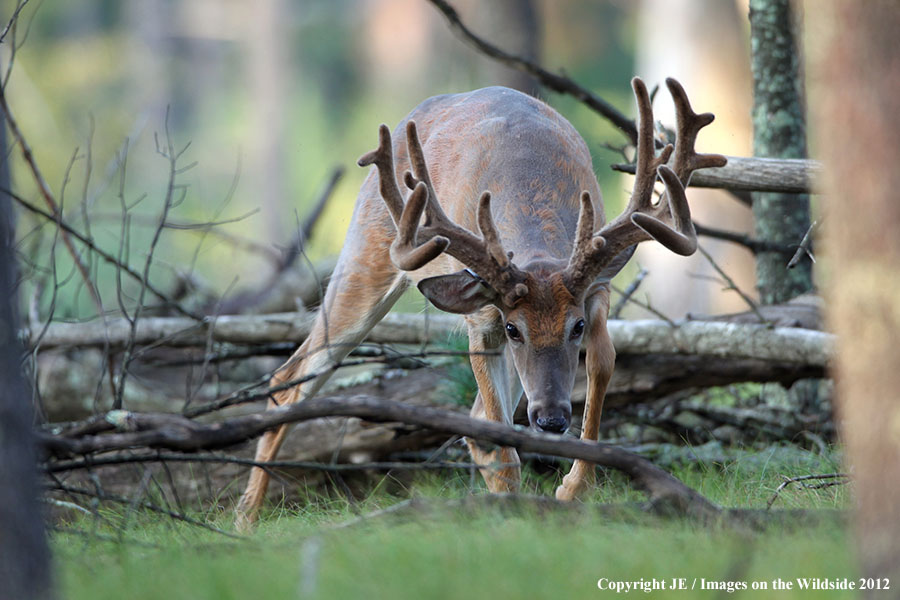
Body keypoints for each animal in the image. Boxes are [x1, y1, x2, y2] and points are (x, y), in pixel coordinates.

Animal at [236, 77, 728, 528]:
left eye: (575, 328)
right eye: (514, 328)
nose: (551, 419)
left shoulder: (598, 292)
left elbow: (602, 363)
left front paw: (571, 489)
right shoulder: (482, 316)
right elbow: (499, 436)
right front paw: (514, 510)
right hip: (365, 251)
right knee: (291, 375)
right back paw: (246, 517)